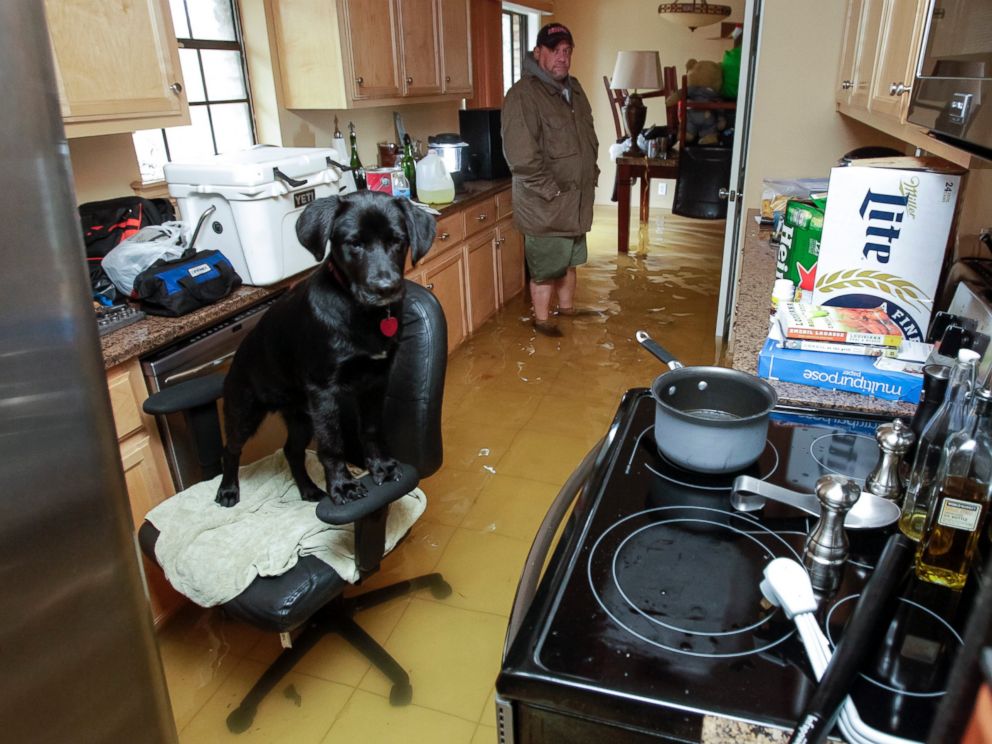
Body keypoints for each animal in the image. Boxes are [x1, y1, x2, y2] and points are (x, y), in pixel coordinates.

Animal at [217, 189, 434, 508]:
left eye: (397, 240)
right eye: (354, 244)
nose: (385, 288)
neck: (364, 314)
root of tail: (236, 356)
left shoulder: (375, 382)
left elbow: (370, 428)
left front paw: (380, 467)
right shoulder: (324, 393)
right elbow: (332, 445)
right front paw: (342, 486)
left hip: (301, 415)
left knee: (291, 451)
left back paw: (308, 489)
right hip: (245, 410)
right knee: (231, 448)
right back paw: (228, 490)